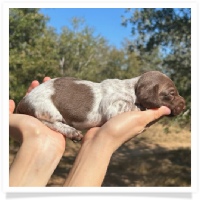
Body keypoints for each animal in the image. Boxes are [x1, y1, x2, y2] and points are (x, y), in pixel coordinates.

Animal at [16, 71, 186, 141]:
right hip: (46, 108)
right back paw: (71, 132)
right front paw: (139, 107)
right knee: (49, 122)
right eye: (172, 93)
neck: (132, 88)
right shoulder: (114, 108)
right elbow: (130, 106)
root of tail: (23, 101)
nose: (184, 104)